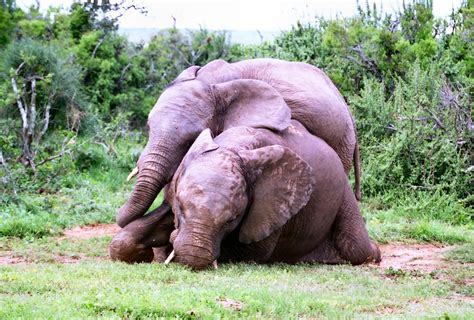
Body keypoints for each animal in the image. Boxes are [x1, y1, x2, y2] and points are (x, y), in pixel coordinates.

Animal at [109, 121, 380, 268]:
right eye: (181, 209)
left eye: (232, 219)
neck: (234, 146)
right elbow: (120, 242)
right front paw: (148, 252)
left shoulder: (270, 208)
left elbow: (250, 255)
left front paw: (168, 245)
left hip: (343, 189)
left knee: (356, 248)